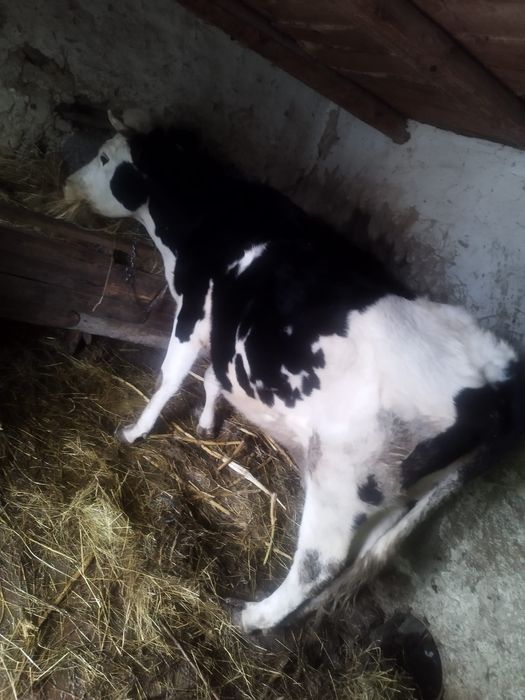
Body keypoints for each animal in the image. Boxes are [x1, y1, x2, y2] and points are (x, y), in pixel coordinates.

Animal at [64, 111, 524, 633]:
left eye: (105, 157)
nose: (68, 183)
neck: (209, 215)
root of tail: (497, 375)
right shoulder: (223, 330)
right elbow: (213, 378)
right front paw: (206, 424)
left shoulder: (194, 311)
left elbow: (169, 377)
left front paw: (134, 431)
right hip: (400, 494)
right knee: (363, 552)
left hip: (342, 479)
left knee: (321, 563)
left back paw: (254, 617)